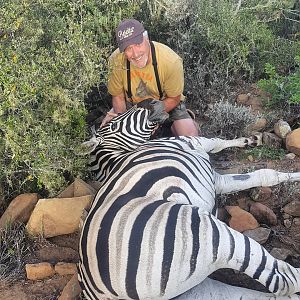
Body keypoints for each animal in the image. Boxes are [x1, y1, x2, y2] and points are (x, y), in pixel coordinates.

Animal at [78, 99, 300, 300]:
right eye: (113, 125)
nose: (150, 101)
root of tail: (106, 292)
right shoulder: (194, 143)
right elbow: (218, 142)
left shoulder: (216, 180)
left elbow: (264, 175)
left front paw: (251, 141)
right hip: (209, 235)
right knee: (284, 279)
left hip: (194, 288)